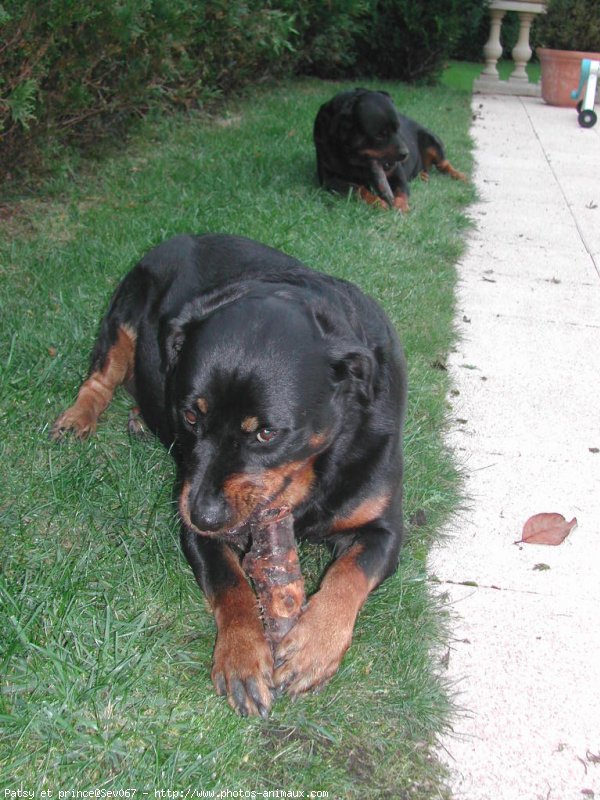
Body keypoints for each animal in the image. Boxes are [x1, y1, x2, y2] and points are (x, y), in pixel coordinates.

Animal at [52, 233, 408, 720]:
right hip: (126, 308)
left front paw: (312, 647)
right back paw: (78, 418)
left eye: (266, 433)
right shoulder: (194, 522)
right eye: (190, 415)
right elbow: (230, 584)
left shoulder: (384, 526)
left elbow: (350, 572)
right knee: (102, 374)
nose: (203, 514)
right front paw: (242, 657)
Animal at [314, 86, 468, 209]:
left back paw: (459, 175)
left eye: (397, 129)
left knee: (444, 164)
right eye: (380, 135)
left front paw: (401, 206)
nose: (406, 153)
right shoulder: (330, 179)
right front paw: (377, 201)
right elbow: (358, 189)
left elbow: (401, 190)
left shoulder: (397, 173)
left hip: (431, 139)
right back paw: (423, 176)